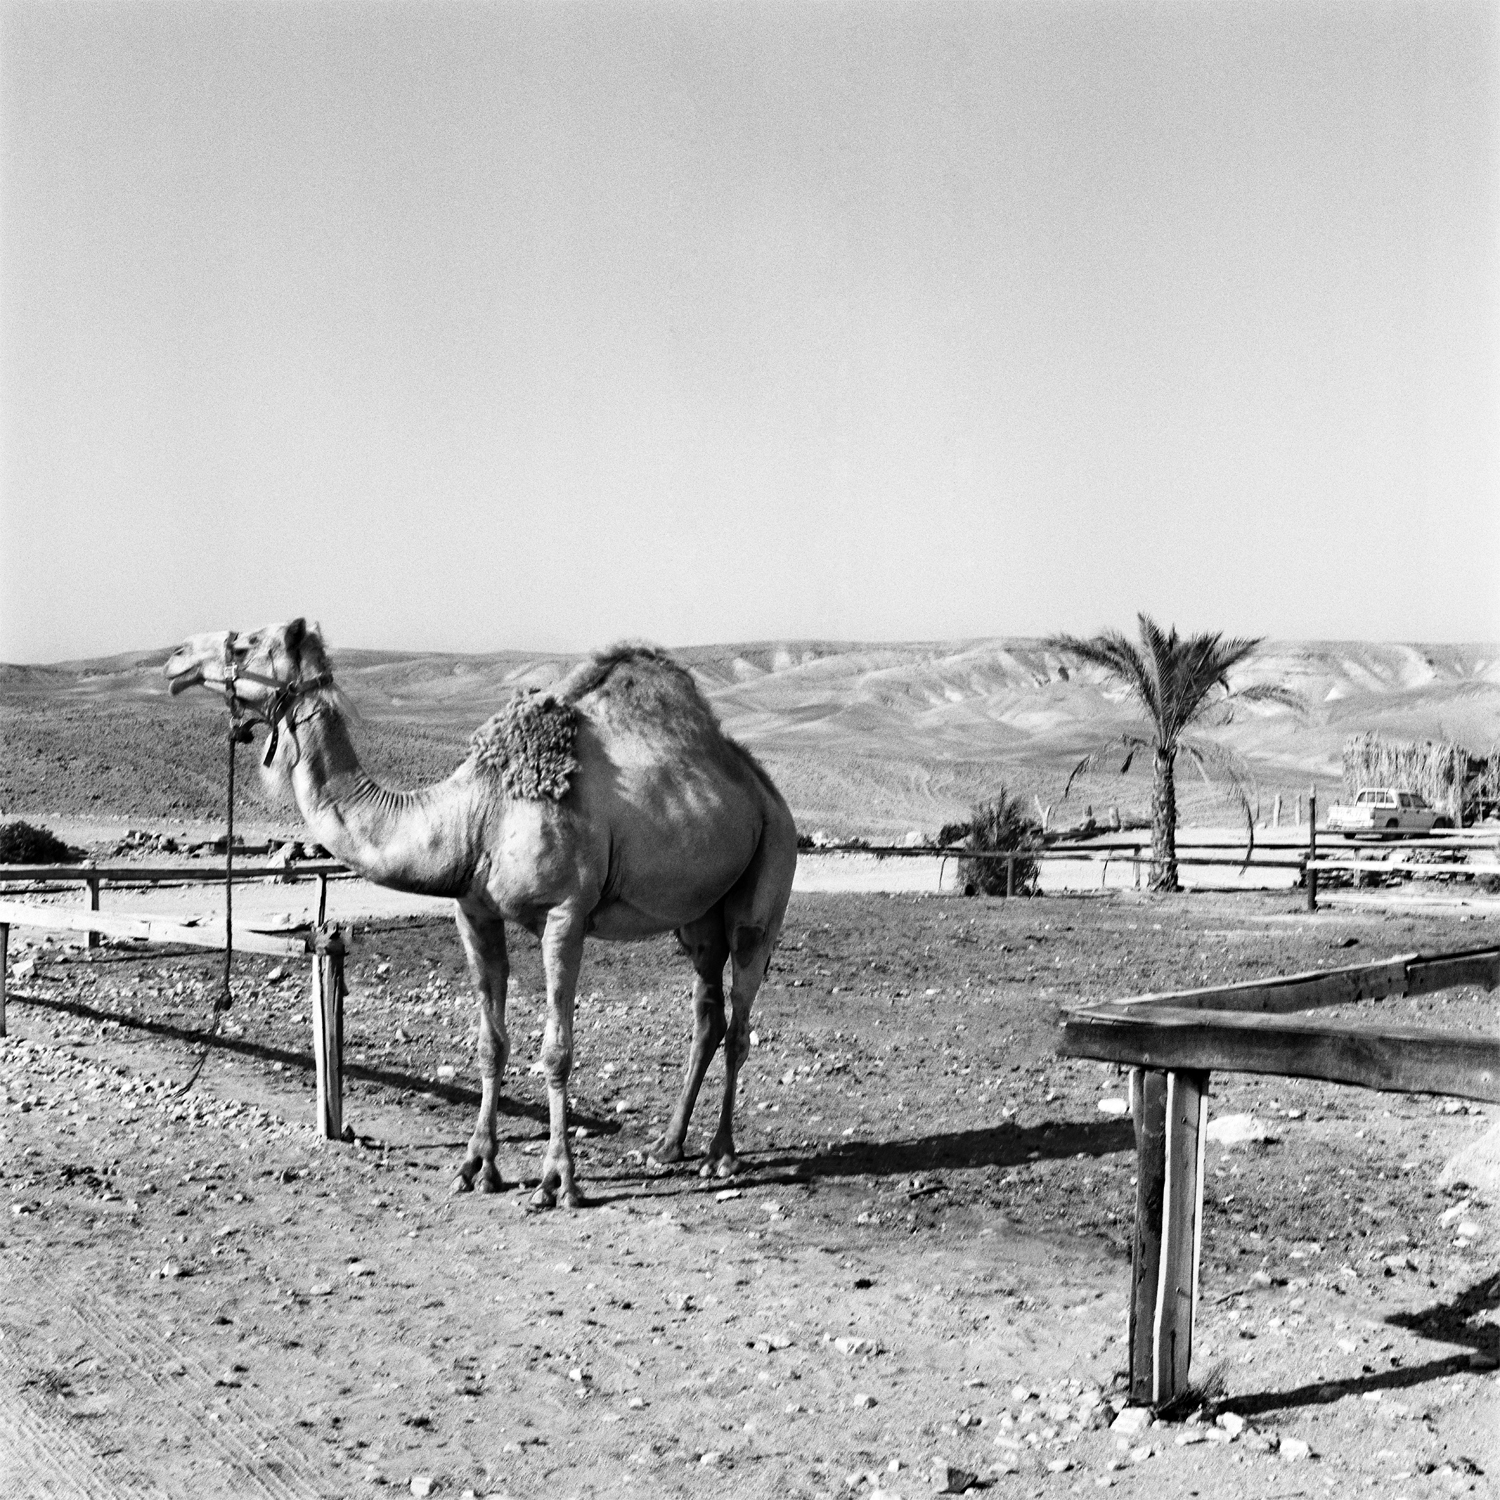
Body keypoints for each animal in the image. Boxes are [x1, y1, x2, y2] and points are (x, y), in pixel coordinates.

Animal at [162, 615, 798, 1212]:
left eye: (244, 642)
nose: (174, 658)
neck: (479, 810)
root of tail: (763, 789)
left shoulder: (566, 913)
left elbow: (557, 1051)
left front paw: (557, 1181)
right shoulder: (473, 910)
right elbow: (491, 1043)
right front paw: (476, 1167)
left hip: (769, 873)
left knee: (740, 1016)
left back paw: (721, 1155)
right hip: (698, 917)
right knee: (707, 1014)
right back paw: (668, 1146)